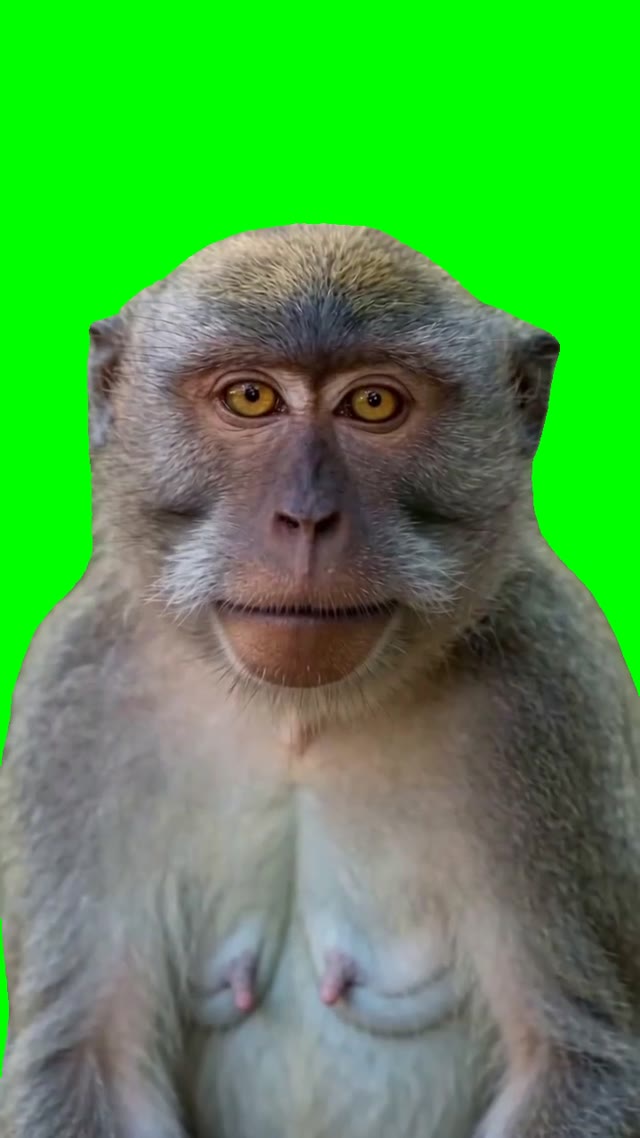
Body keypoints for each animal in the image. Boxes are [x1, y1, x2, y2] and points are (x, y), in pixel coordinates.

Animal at [0, 223, 639, 1138]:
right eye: (251, 399)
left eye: (373, 405)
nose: (305, 518)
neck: (297, 718)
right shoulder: (76, 697)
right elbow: (86, 1059)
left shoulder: (552, 692)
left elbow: (576, 1060)